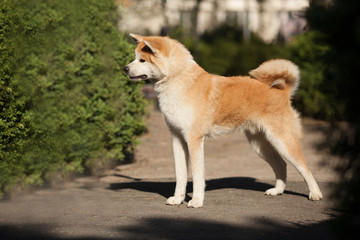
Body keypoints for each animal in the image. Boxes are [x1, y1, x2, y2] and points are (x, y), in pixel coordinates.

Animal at [124, 34, 324, 208]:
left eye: (142, 60)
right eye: (135, 58)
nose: (125, 68)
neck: (178, 81)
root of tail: (282, 92)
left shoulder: (194, 140)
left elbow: (197, 175)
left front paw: (196, 201)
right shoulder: (177, 138)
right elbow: (180, 175)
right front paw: (178, 198)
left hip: (282, 141)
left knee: (304, 167)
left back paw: (315, 193)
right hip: (260, 144)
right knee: (281, 164)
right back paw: (277, 190)